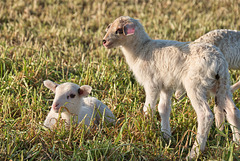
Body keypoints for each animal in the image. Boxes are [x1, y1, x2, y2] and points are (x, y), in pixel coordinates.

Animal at [101, 15, 240, 159]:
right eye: (109, 27)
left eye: (119, 30)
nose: (104, 41)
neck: (141, 49)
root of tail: (219, 62)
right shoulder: (166, 86)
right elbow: (163, 109)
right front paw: (166, 136)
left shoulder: (151, 84)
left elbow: (148, 108)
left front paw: (146, 129)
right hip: (222, 85)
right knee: (232, 110)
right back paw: (236, 144)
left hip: (195, 85)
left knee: (205, 115)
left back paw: (194, 153)